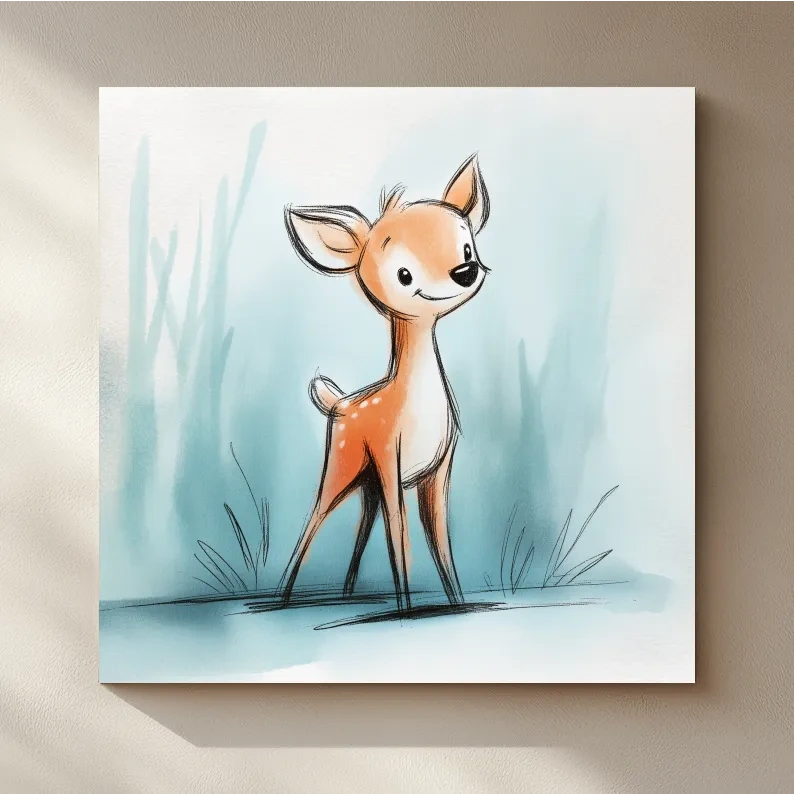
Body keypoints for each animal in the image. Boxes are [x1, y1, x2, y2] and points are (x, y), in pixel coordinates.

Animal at [278, 154, 490, 612]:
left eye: (467, 246)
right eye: (403, 274)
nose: (465, 270)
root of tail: (337, 402)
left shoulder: (438, 468)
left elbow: (440, 544)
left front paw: (455, 605)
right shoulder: (391, 457)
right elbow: (401, 543)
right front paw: (408, 612)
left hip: (367, 482)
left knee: (360, 533)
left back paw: (345, 595)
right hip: (343, 467)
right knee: (312, 523)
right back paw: (281, 598)